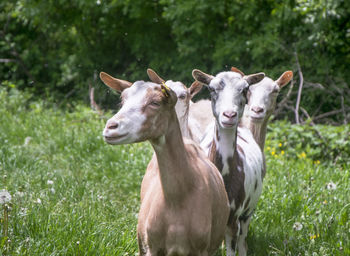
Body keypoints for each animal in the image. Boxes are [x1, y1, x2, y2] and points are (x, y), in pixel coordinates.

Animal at [100, 71, 230, 256]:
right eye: (123, 100)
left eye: (155, 102)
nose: (111, 127)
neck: (176, 201)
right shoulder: (152, 247)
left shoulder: (201, 248)